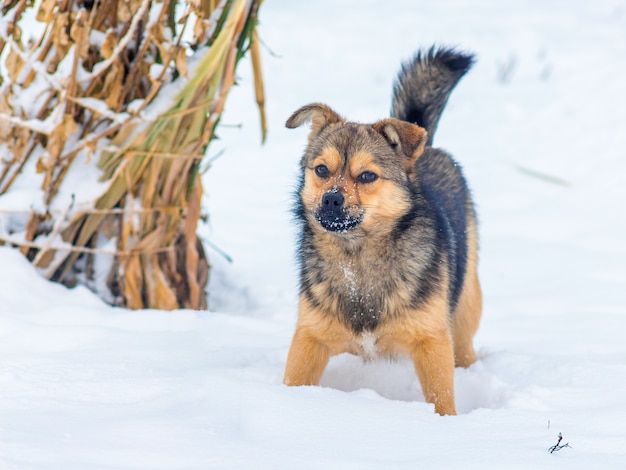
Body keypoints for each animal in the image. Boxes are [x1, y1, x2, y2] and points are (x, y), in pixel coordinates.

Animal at [282, 46, 482, 414]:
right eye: (321, 169)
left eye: (367, 176)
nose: (331, 199)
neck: (357, 261)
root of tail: (426, 142)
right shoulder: (310, 337)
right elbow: (294, 379)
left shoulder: (431, 341)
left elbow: (441, 396)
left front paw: (447, 423)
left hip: (465, 307)